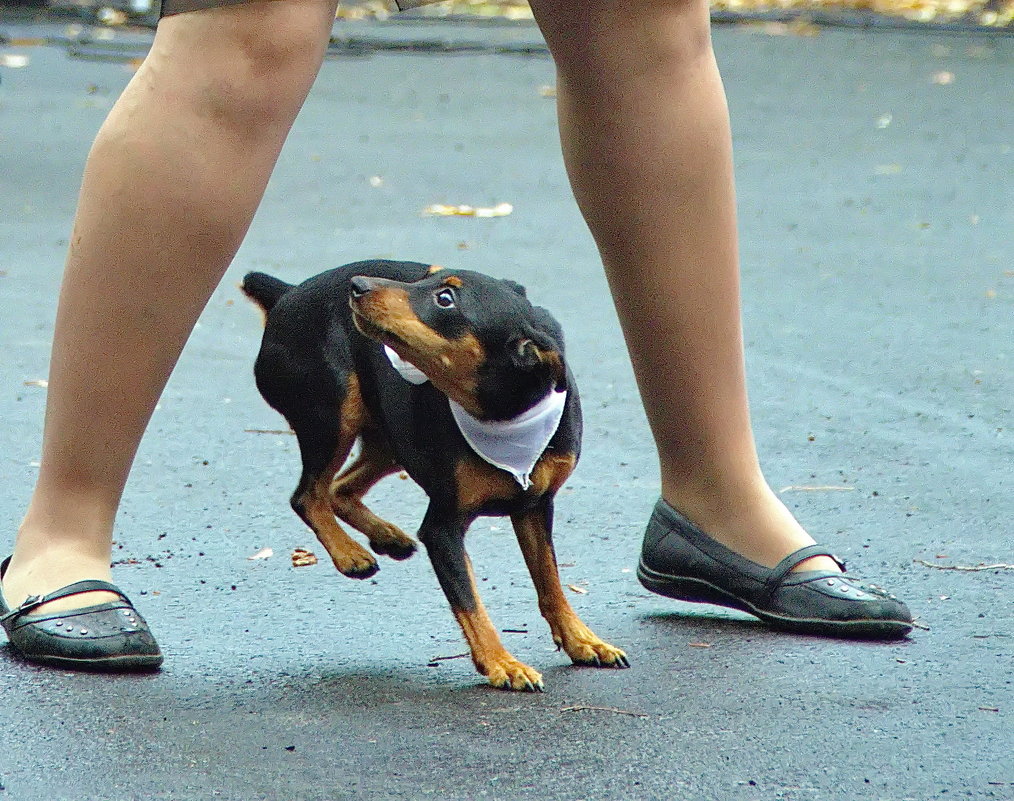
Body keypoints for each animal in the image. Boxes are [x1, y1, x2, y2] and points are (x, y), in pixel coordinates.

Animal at [244, 261, 624, 689]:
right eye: (425, 278)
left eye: (446, 299)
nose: (356, 286)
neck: (503, 414)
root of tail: (286, 293)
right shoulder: (442, 529)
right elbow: (471, 602)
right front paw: (502, 664)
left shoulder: (535, 506)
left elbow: (551, 582)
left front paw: (583, 641)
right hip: (334, 411)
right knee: (308, 494)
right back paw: (350, 554)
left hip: (388, 436)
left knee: (338, 488)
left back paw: (386, 538)